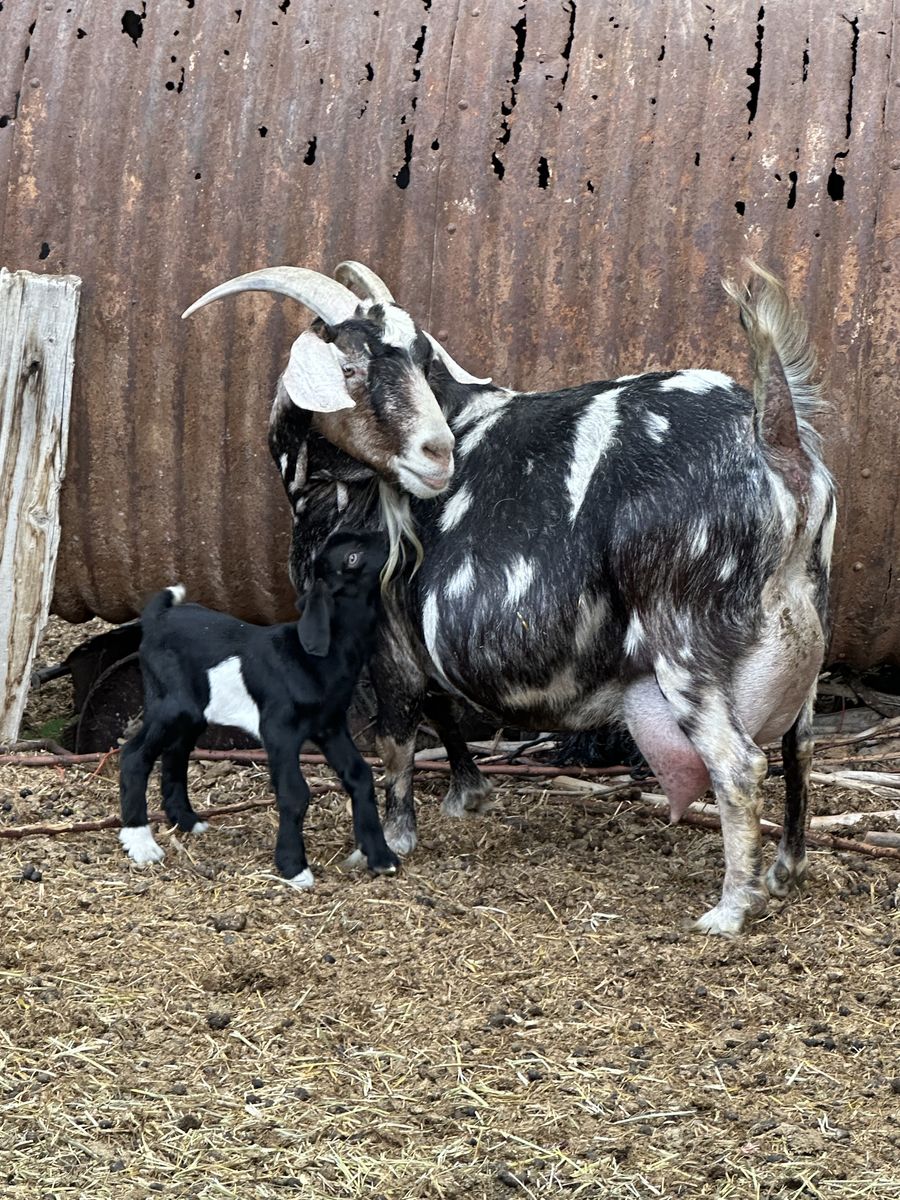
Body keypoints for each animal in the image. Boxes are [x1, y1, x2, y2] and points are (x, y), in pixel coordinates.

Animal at [118, 529, 399, 886]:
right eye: (352, 557)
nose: (393, 536)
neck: (314, 657)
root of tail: (157, 618)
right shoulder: (279, 729)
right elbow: (294, 792)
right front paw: (293, 867)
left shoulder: (330, 725)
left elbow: (359, 774)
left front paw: (380, 856)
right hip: (170, 703)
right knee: (134, 755)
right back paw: (140, 842)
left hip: (193, 711)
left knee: (176, 753)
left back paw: (186, 820)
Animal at [182, 262, 835, 935]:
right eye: (351, 369)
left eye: (419, 360)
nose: (438, 452)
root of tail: (773, 440)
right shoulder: (416, 631)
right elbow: (441, 706)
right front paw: (469, 794)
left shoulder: (385, 633)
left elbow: (396, 736)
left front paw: (388, 842)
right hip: (807, 625)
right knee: (800, 747)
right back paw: (784, 871)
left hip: (685, 640)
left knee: (740, 764)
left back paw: (731, 909)